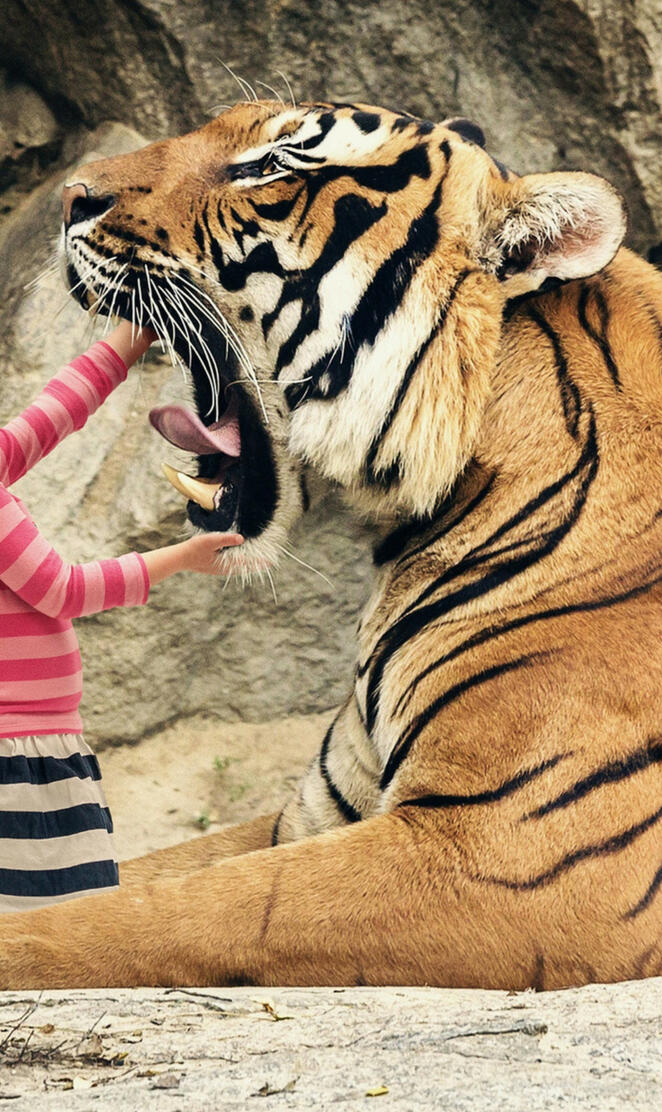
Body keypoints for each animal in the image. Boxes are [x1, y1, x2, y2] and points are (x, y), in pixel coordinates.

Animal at [1, 96, 662, 992]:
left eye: (271, 167)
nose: (71, 196)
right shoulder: (323, 807)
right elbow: (135, 880)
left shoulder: (503, 852)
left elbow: (163, 913)